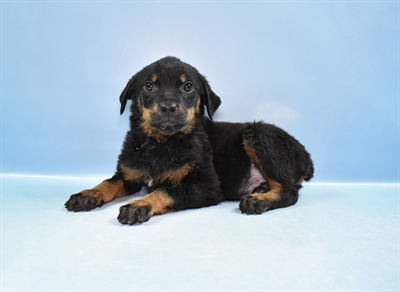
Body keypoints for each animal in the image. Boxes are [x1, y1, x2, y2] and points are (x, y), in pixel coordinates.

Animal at [64, 55, 314, 224]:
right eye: (149, 86)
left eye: (188, 87)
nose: (168, 107)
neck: (161, 143)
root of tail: (306, 157)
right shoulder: (129, 174)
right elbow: (108, 183)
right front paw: (87, 194)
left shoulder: (206, 186)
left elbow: (166, 191)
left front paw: (140, 204)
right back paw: (261, 189)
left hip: (258, 135)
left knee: (290, 191)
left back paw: (258, 200)